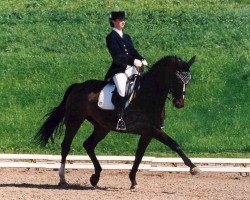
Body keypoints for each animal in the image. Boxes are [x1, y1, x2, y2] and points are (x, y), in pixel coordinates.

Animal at [34, 54, 201, 189]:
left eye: (188, 80)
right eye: (177, 78)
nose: (179, 103)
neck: (148, 95)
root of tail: (78, 86)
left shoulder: (148, 132)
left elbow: (139, 155)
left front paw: (133, 181)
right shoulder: (152, 129)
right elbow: (174, 144)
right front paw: (194, 168)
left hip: (102, 127)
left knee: (88, 144)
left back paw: (95, 177)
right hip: (75, 120)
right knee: (66, 146)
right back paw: (63, 179)